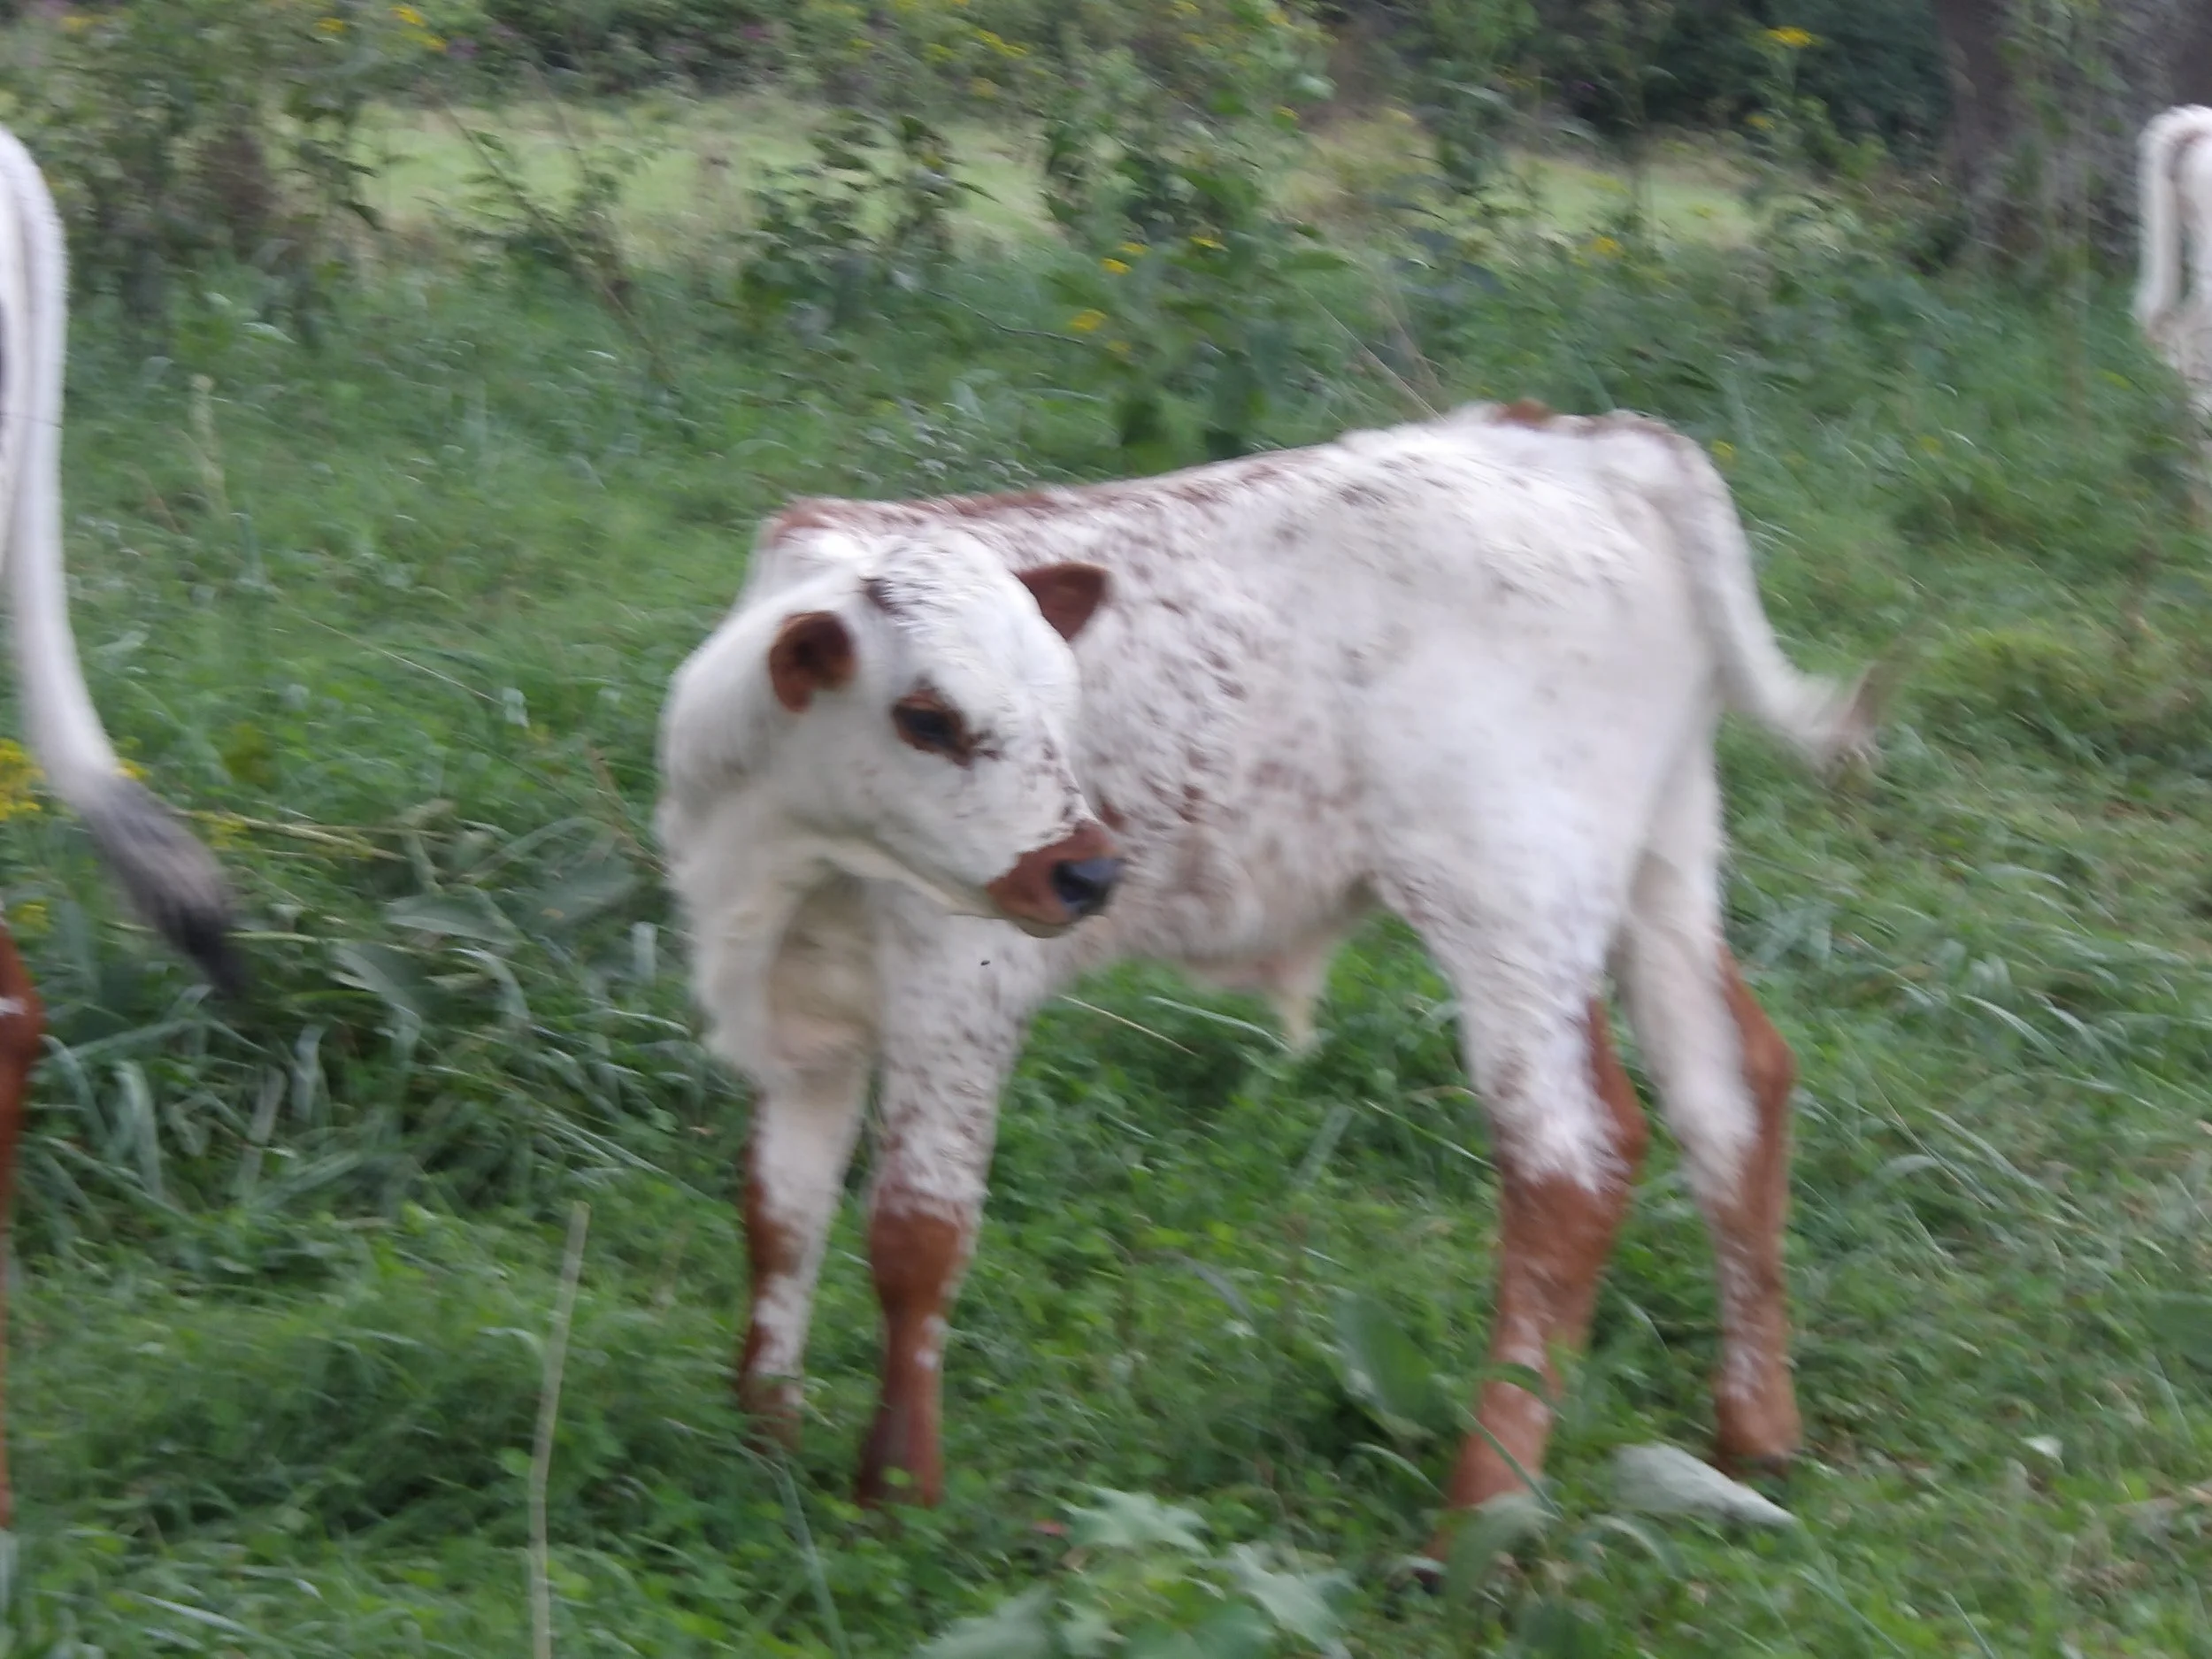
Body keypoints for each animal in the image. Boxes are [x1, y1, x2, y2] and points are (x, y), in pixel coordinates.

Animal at [657, 400, 1874, 1550]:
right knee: (1731, 1089)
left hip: (1512, 894)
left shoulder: (958, 989)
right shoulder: (800, 1023)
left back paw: (1478, 1512)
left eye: (1062, 702)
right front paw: (764, 1440)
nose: (1088, 871)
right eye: (926, 718)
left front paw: (897, 1496)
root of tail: (1588, 446)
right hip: (1661, 854)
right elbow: (780, 1214)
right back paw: (1756, 1433)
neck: (792, 860)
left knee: (1573, 1163)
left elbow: (915, 1237)